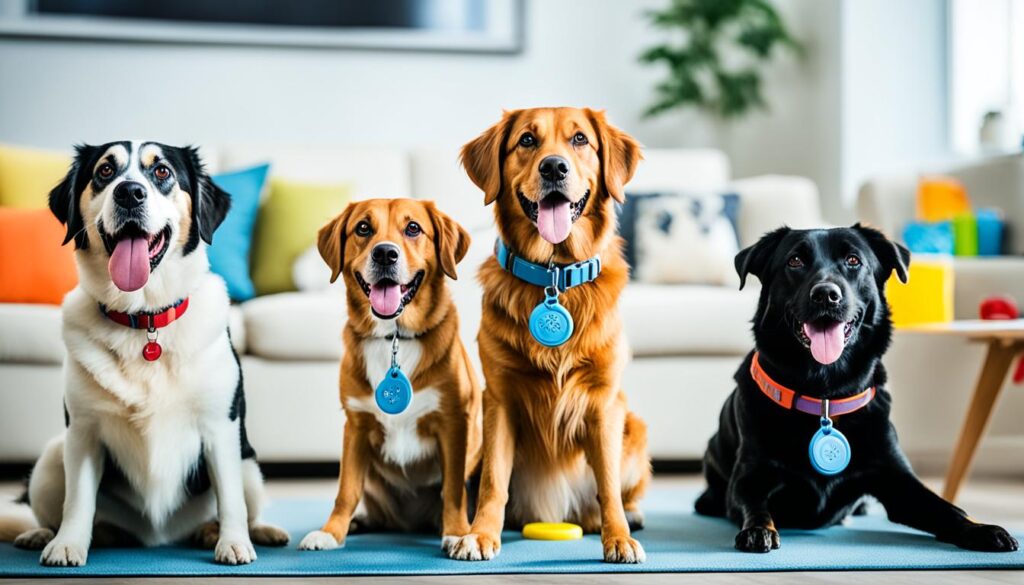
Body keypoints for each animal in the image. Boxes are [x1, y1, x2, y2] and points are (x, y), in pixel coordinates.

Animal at [1, 142, 288, 569]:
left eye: (162, 172)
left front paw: (234, 543)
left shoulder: (220, 429)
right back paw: (48, 535)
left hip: (249, 464)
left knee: (243, 504)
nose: (130, 193)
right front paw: (68, 545)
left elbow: (230, 500)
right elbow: (78, 501)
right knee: (58, 507)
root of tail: (159, 536)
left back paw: (238, 532)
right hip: (50, 460)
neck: (144, 318)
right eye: (105, 171)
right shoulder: (83, 430)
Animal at [299, 198, 481, 553]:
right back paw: (359, 522)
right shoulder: (356, 426)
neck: (394, 336)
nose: (385, 253)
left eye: (413, 228)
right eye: (363, 228)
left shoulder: (454, 423)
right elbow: (345, 491)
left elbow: (453, 490)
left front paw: (457, 532)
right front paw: (331, 532)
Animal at [446, 108, 647, 561]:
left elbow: (608, 484)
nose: (554, 167)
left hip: (634, 426)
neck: (554, 275)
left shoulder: (604, 403)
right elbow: (494, 481)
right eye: (526, 140)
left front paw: (619, 537)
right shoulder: (499, 400)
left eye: (579, 139)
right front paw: (481, 534)